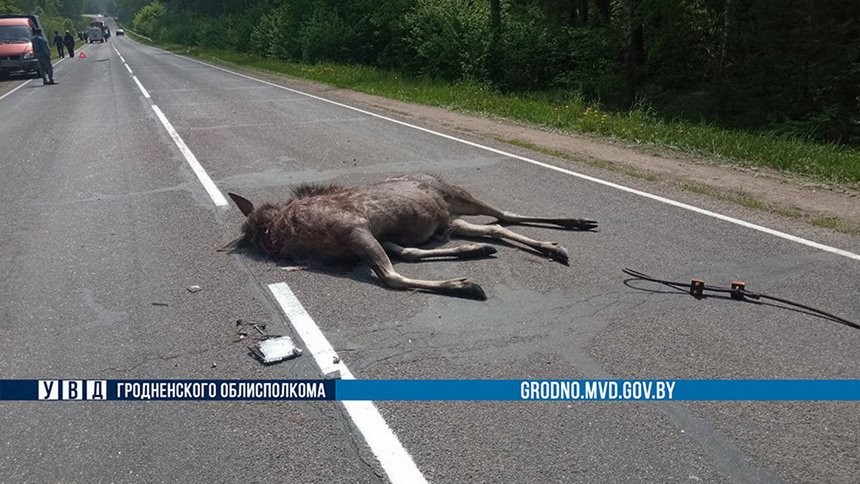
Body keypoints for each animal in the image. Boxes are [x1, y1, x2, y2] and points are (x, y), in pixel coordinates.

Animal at [224, 174, 597, 300]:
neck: (282, 233)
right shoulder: (376, 237)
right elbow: (406, 257)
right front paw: (467, 263)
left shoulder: (355, 227)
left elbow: (392, 275)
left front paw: (464, 284)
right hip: (450, 219)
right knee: (495, 226)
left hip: (457, 195)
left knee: (504, 214)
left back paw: (575, 224)